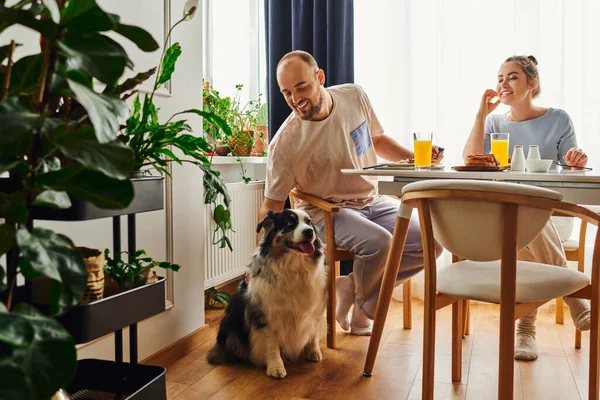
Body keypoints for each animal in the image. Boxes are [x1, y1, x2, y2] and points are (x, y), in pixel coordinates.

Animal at [207, 209, 328, 378]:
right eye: (289, 223)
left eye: (309, 222)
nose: (309, 232)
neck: (294, 267)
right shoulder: (267, 314)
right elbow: (271, 343)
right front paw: (275, 367)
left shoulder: (314, 307)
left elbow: (313, 332)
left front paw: (313, 352)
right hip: (231, 324)